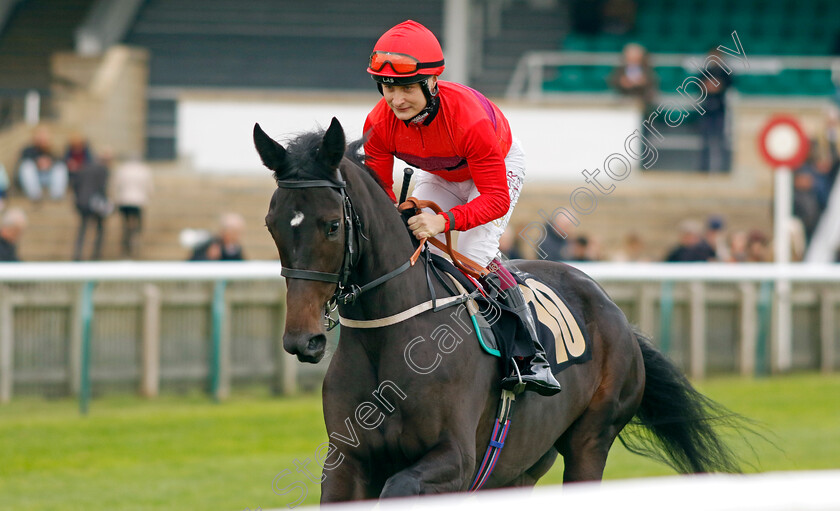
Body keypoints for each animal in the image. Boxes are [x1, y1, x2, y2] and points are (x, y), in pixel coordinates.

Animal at [256, 118, 740, 502]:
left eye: (332, 225)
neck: (389, 338)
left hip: (592, 439)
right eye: (272, 224)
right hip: (521, 464)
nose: (303, 339)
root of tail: (615, 311)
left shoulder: (455, 460)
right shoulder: (346, 461)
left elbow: (401, 485)